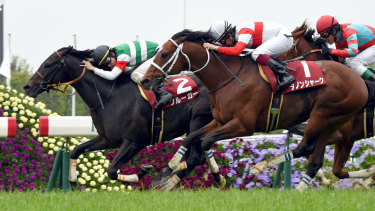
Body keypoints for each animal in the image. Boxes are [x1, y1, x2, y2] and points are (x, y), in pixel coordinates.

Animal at [22, 46, 220, 186]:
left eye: (48, 64)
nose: (27, 86)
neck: (109, 97)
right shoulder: (107, 139)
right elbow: (76, 151)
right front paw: (72, 182)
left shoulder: (135, 142)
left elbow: (111, 171)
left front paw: (143, 171)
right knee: (196, 155)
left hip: (197, 120)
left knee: (195, 157)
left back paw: (164, 178)